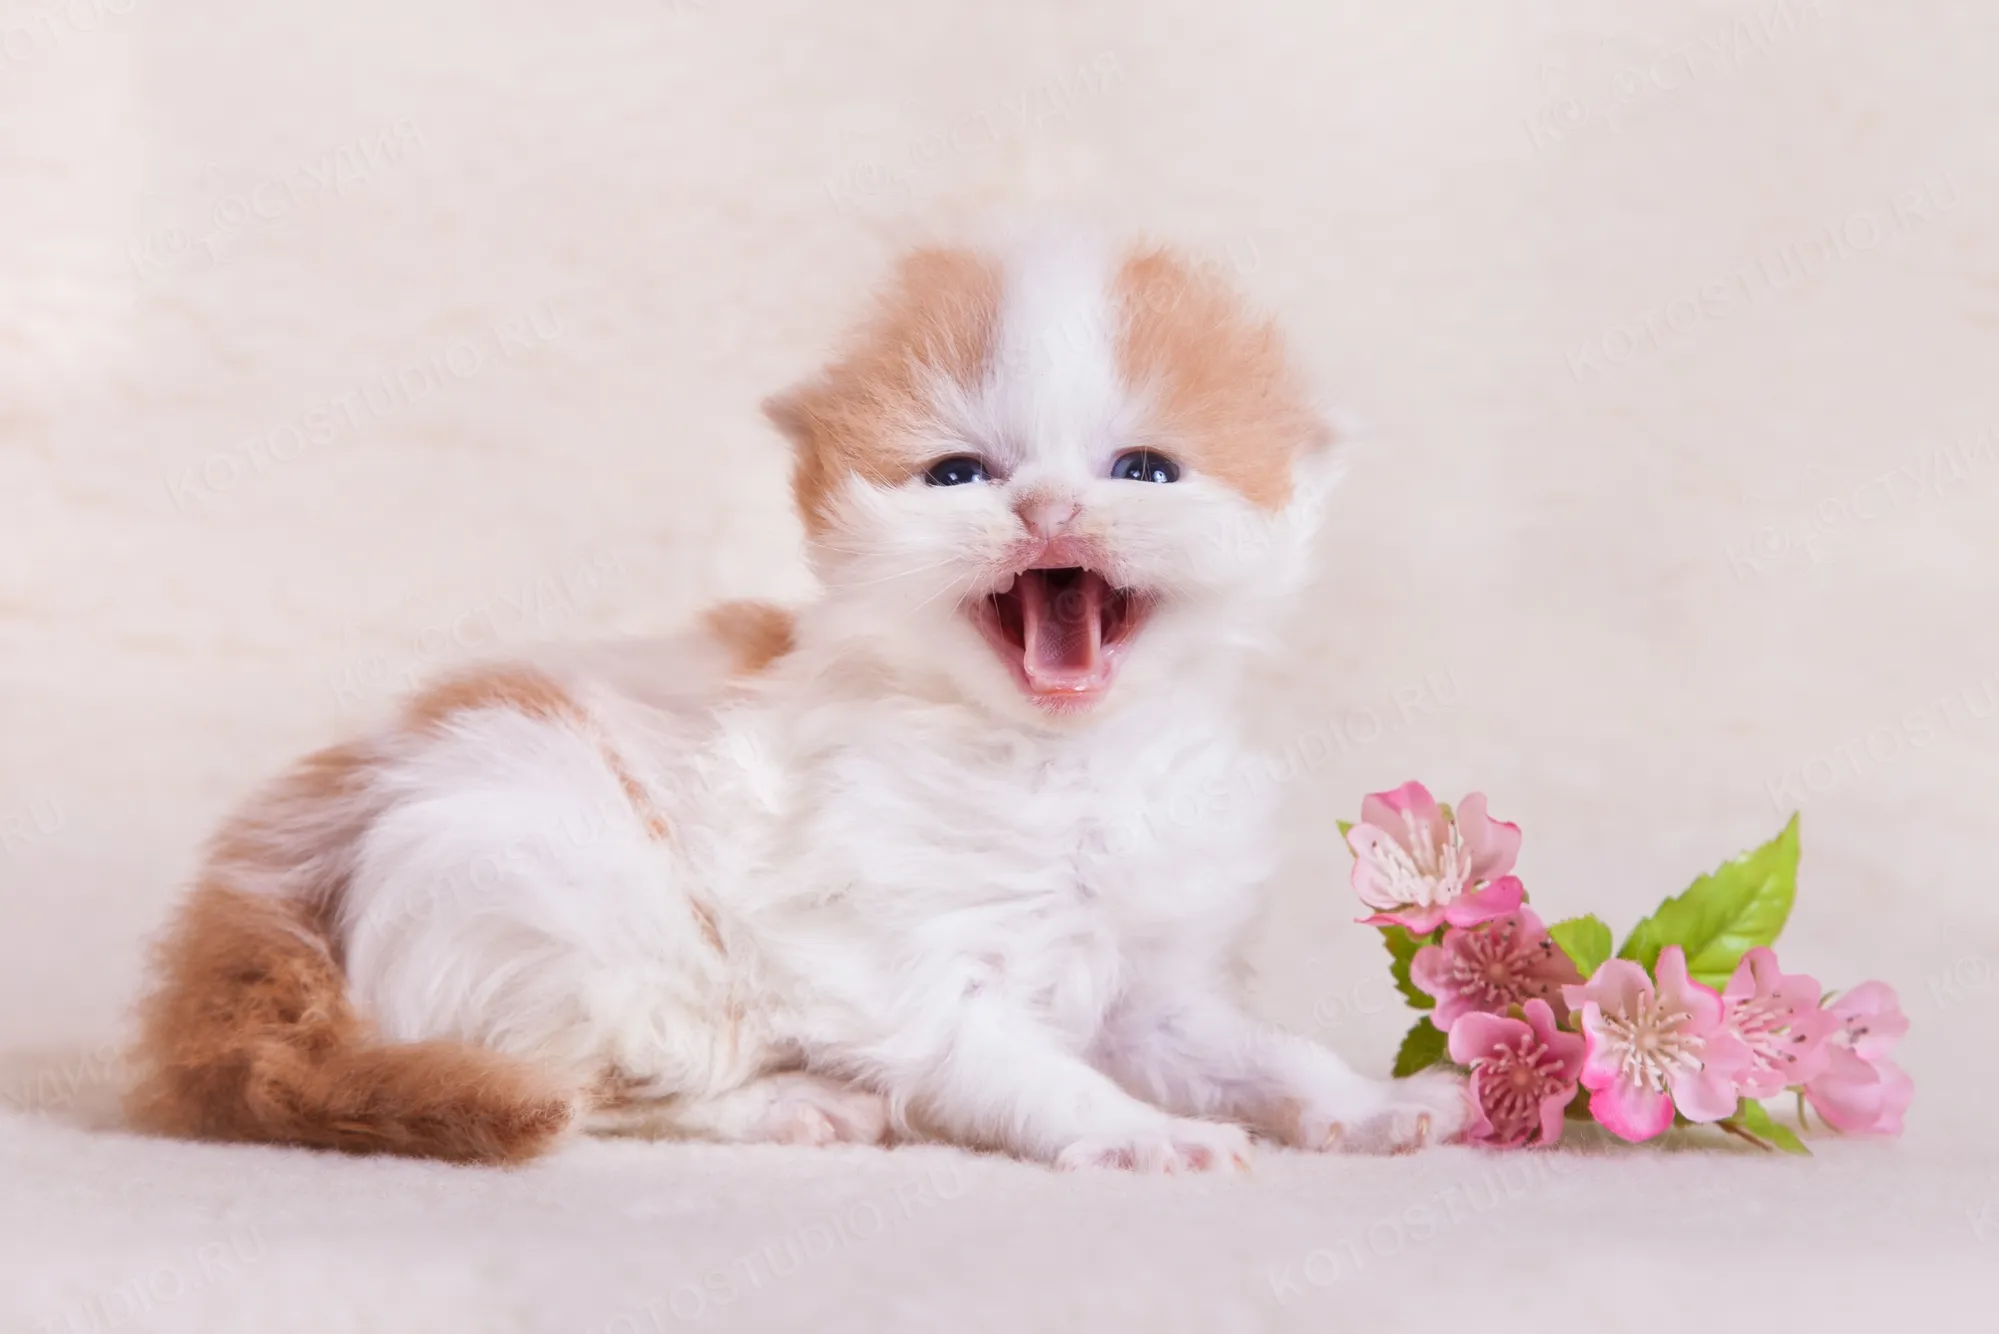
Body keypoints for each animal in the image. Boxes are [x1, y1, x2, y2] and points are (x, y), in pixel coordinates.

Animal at [126, 234, 1467, 1172]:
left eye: (1144, 469)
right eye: (958, 475)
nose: (1045, 508)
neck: (1053, 760)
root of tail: (310, 846)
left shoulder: (1155, 982)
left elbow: (1258, 1047)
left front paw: (1364, 1105)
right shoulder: (901, 965)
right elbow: (1022, 1067)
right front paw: (1139, 1132)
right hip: (564, 924)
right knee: (595, 1089)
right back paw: (795, 1104)